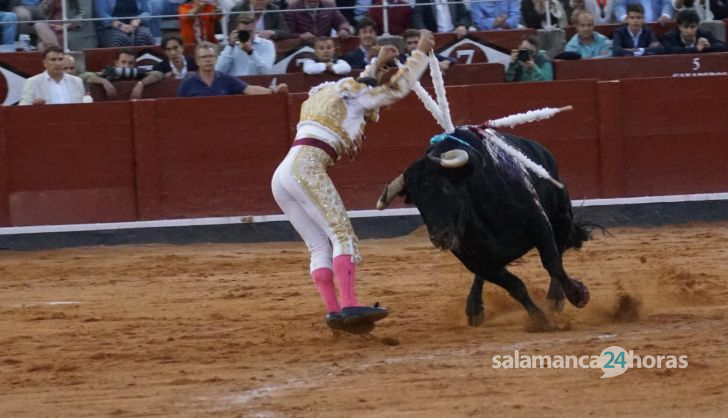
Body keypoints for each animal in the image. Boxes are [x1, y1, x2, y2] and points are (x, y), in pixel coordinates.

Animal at [384, 127, 588, 326]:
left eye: (447, 187)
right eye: (416, 199)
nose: (440, 237)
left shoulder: (539, 224)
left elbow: (553, 263)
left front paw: (578, 295)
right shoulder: (474, 261)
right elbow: (514, 285)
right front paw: (539, 319)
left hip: (561, 216)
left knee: (559, 252)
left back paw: (555, 299)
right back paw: (474, 308)